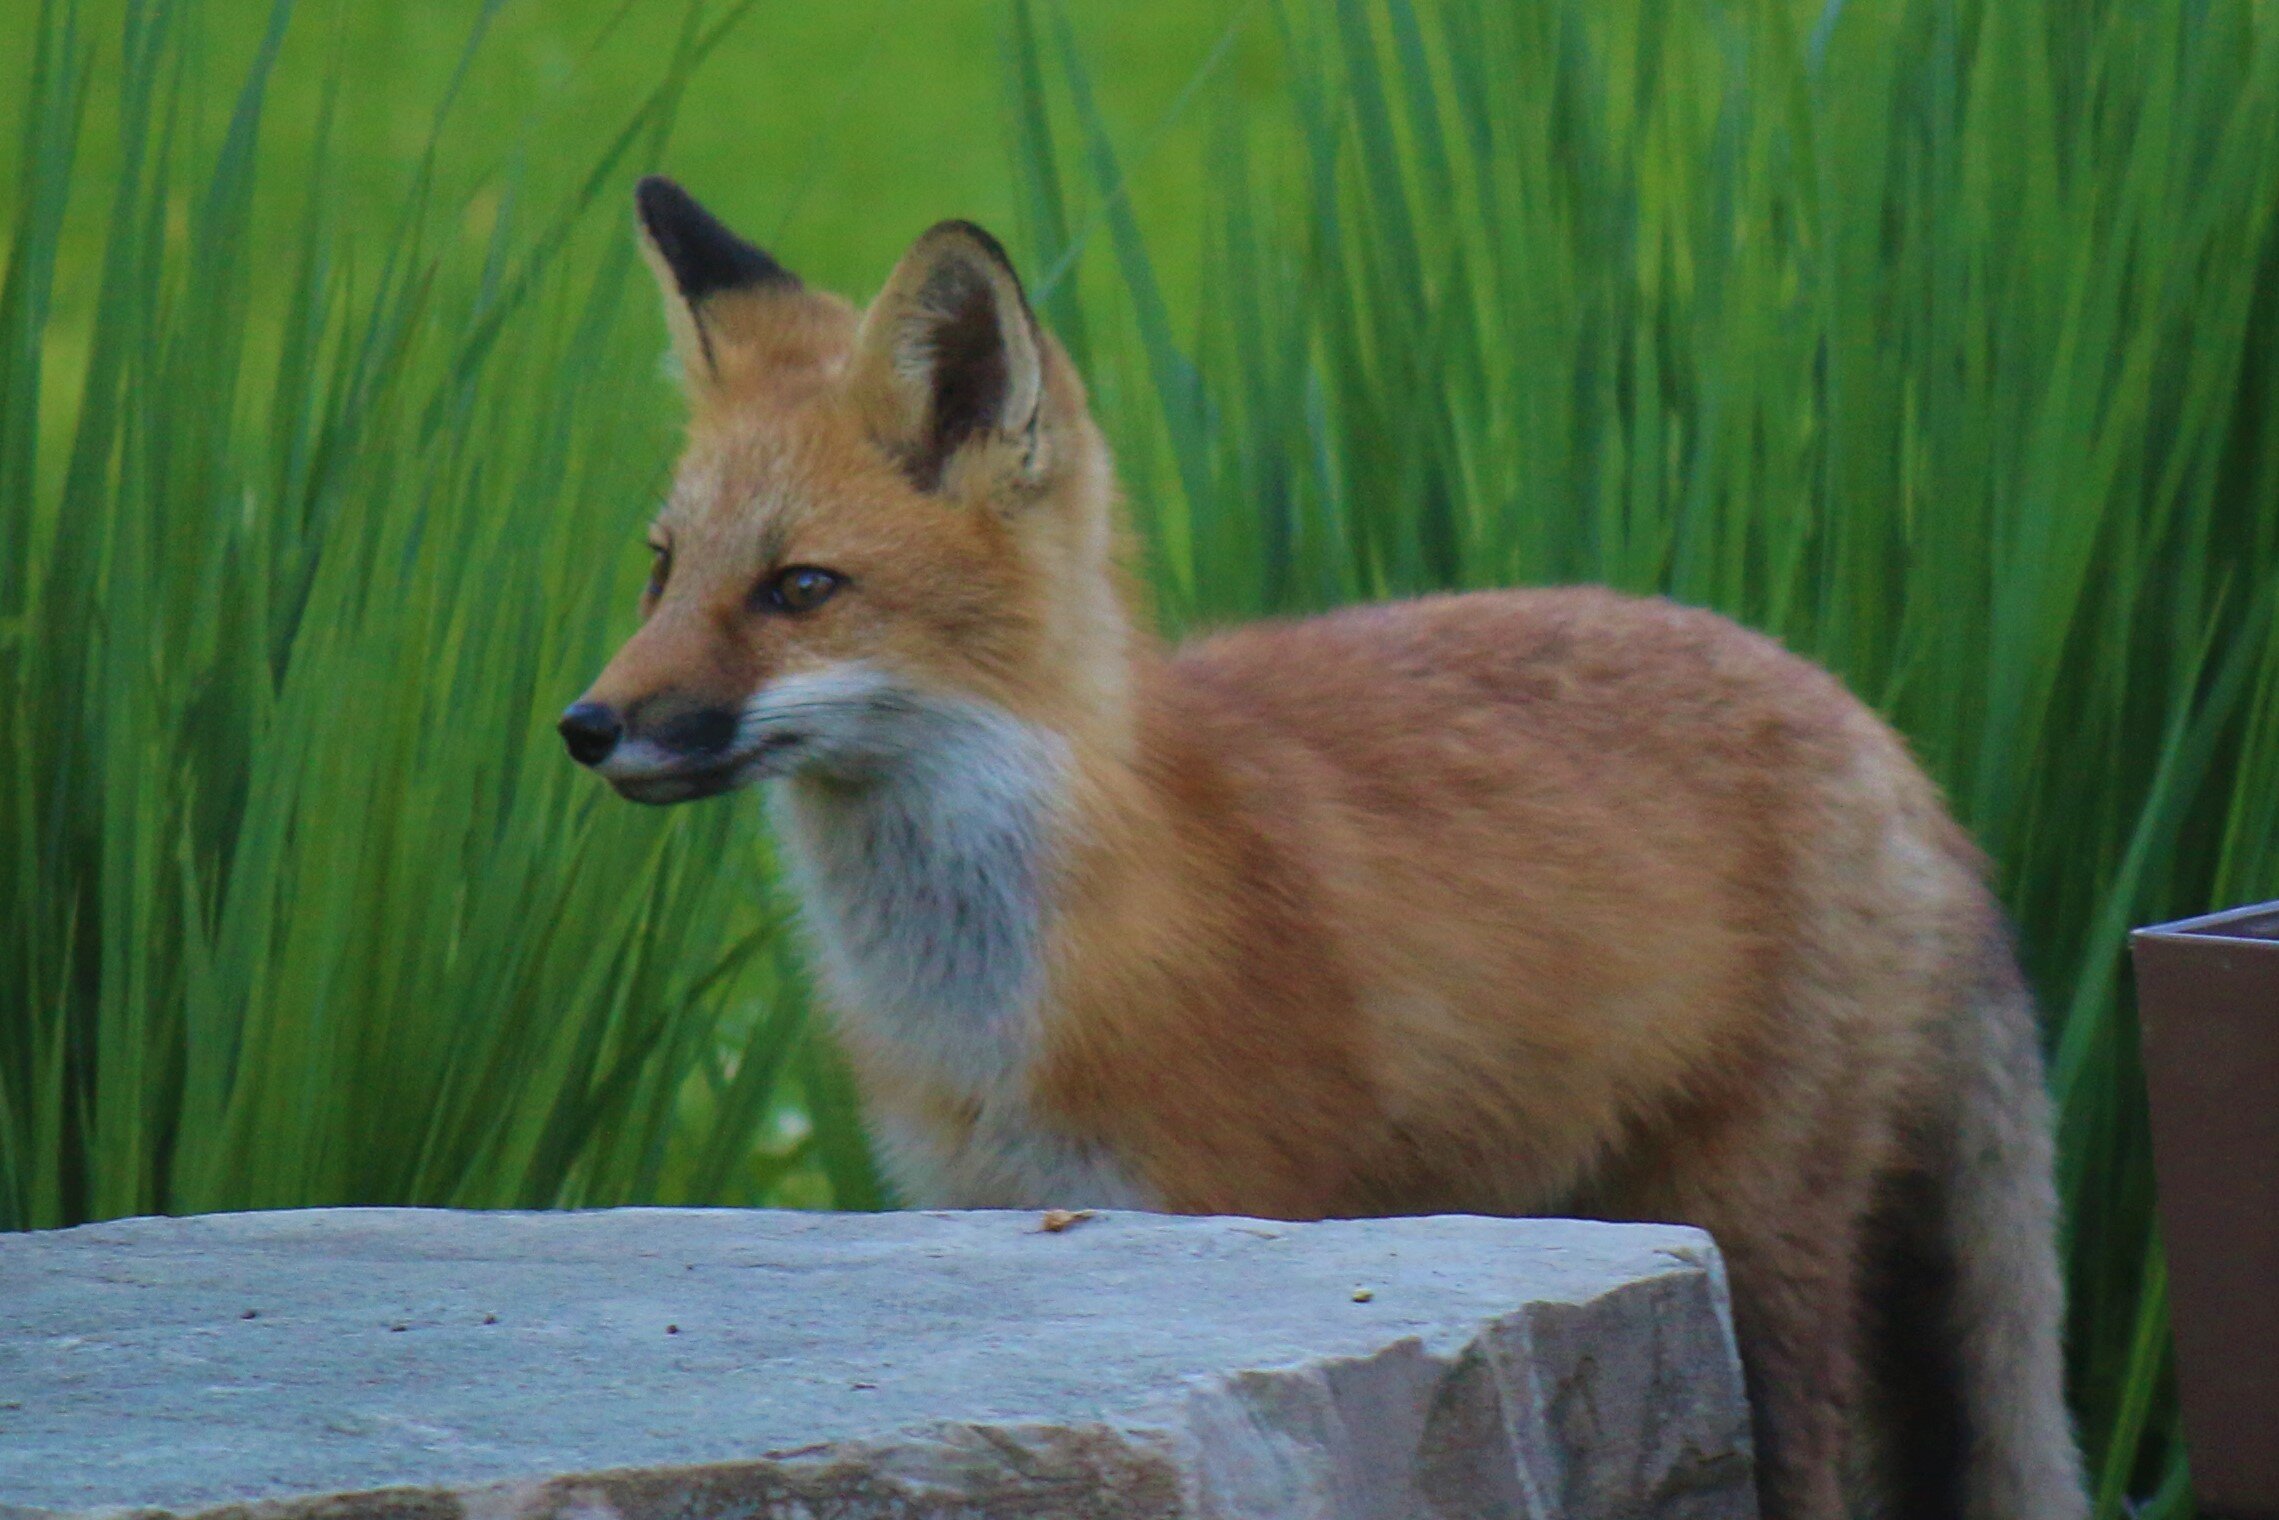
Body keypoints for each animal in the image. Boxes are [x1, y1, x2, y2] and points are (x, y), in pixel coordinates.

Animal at [565, 181, 2087, 1520]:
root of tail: (1879, 736)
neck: (1002, 1001)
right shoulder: (983, 1209)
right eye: (662, 570)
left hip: (1746, 1232)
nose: (586, 725)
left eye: (799, 589)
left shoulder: (1229, 1207)